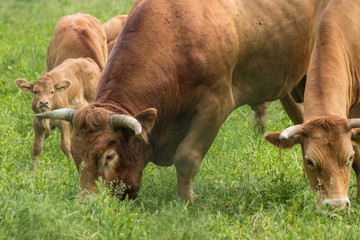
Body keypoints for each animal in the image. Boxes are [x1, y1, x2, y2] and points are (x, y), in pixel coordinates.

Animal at [36, 0, 330, 202]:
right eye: (76, 156)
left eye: (109, 156)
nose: (88, 203)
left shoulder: (214, 105)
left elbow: (187, 157)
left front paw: (184, 201)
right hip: (290, 83)